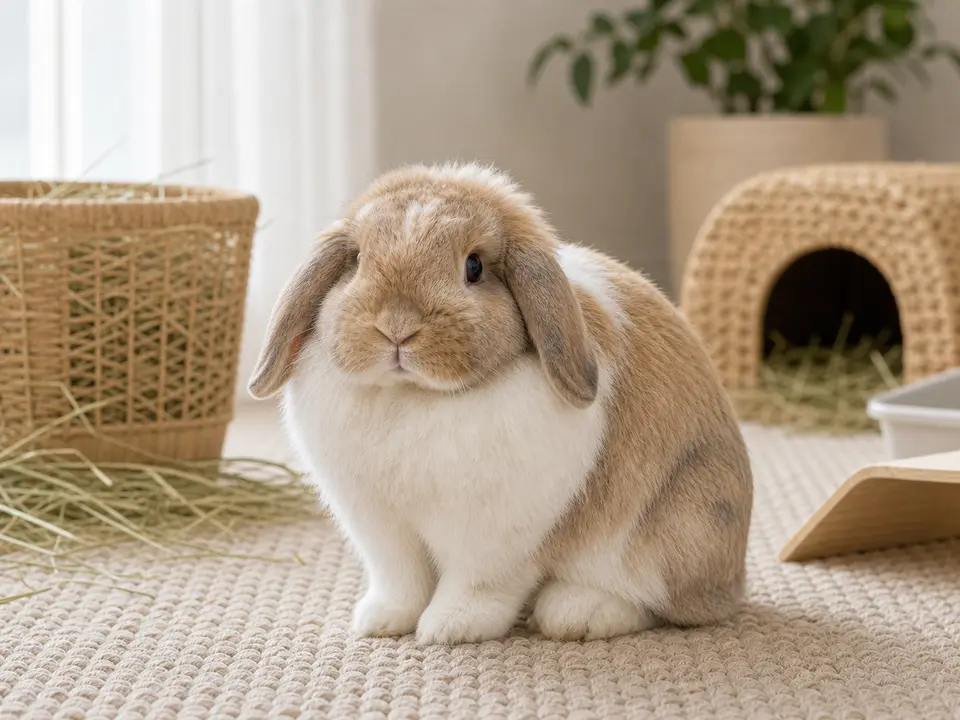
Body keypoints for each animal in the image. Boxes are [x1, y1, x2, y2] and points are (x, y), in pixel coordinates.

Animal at [247, 162, 753, 645]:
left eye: (473, 267)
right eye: (355, 261)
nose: (397, 327)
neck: (415, 396)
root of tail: (733, 580)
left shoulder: (490, 539)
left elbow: (474, 586)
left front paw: (449, 629)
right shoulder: (382, 529)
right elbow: (402, 582)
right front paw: (380, 621)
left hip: (675, 530)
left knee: (657, 602)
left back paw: (576, 613)